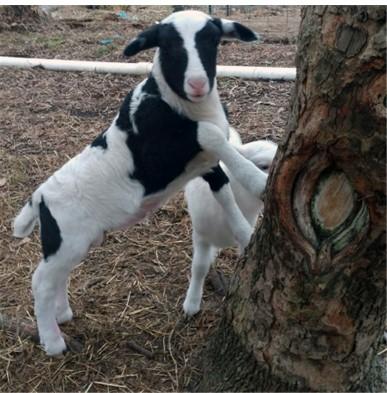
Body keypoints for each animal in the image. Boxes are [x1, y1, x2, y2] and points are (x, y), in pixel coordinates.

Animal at [11, 9, 266, 356]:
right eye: (167, 45)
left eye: (213, 40)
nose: (197, 83)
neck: (179, 104)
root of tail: (39, 198)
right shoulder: (163, 148)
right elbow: (209, 134)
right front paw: (260, 181)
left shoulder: (204, 165)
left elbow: (225, 184)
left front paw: (245, 231)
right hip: (66, 236)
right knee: (40, 281)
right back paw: (52, 341)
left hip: (76, 242)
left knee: (56, 276)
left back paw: (62, 314)